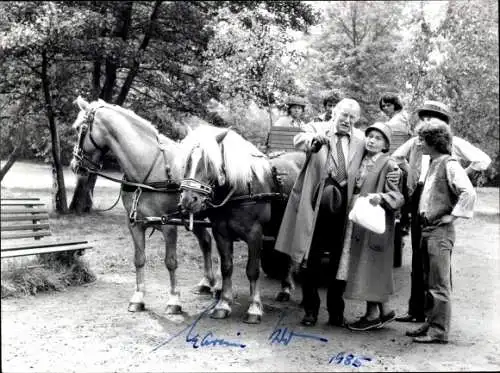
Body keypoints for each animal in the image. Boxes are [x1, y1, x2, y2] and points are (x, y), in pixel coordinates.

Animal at [71, 96, 216, 314]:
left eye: (79, 128)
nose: (75, 165)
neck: (149, 169)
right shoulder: (135, 223)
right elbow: (139, 259)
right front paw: (138, 297)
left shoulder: (169, 225)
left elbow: (171, 262)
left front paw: (174, 300)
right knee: (206, 241)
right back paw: (207, 283)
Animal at [178, 125, 306, 322]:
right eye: (188, 162)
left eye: (209, 163)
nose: (188, 200)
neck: (241, 188)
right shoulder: (221, 233)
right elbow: (226, 268)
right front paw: (223, 303)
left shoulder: (255, 234)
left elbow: (252, 270)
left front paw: (254, 308)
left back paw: (286, 288)